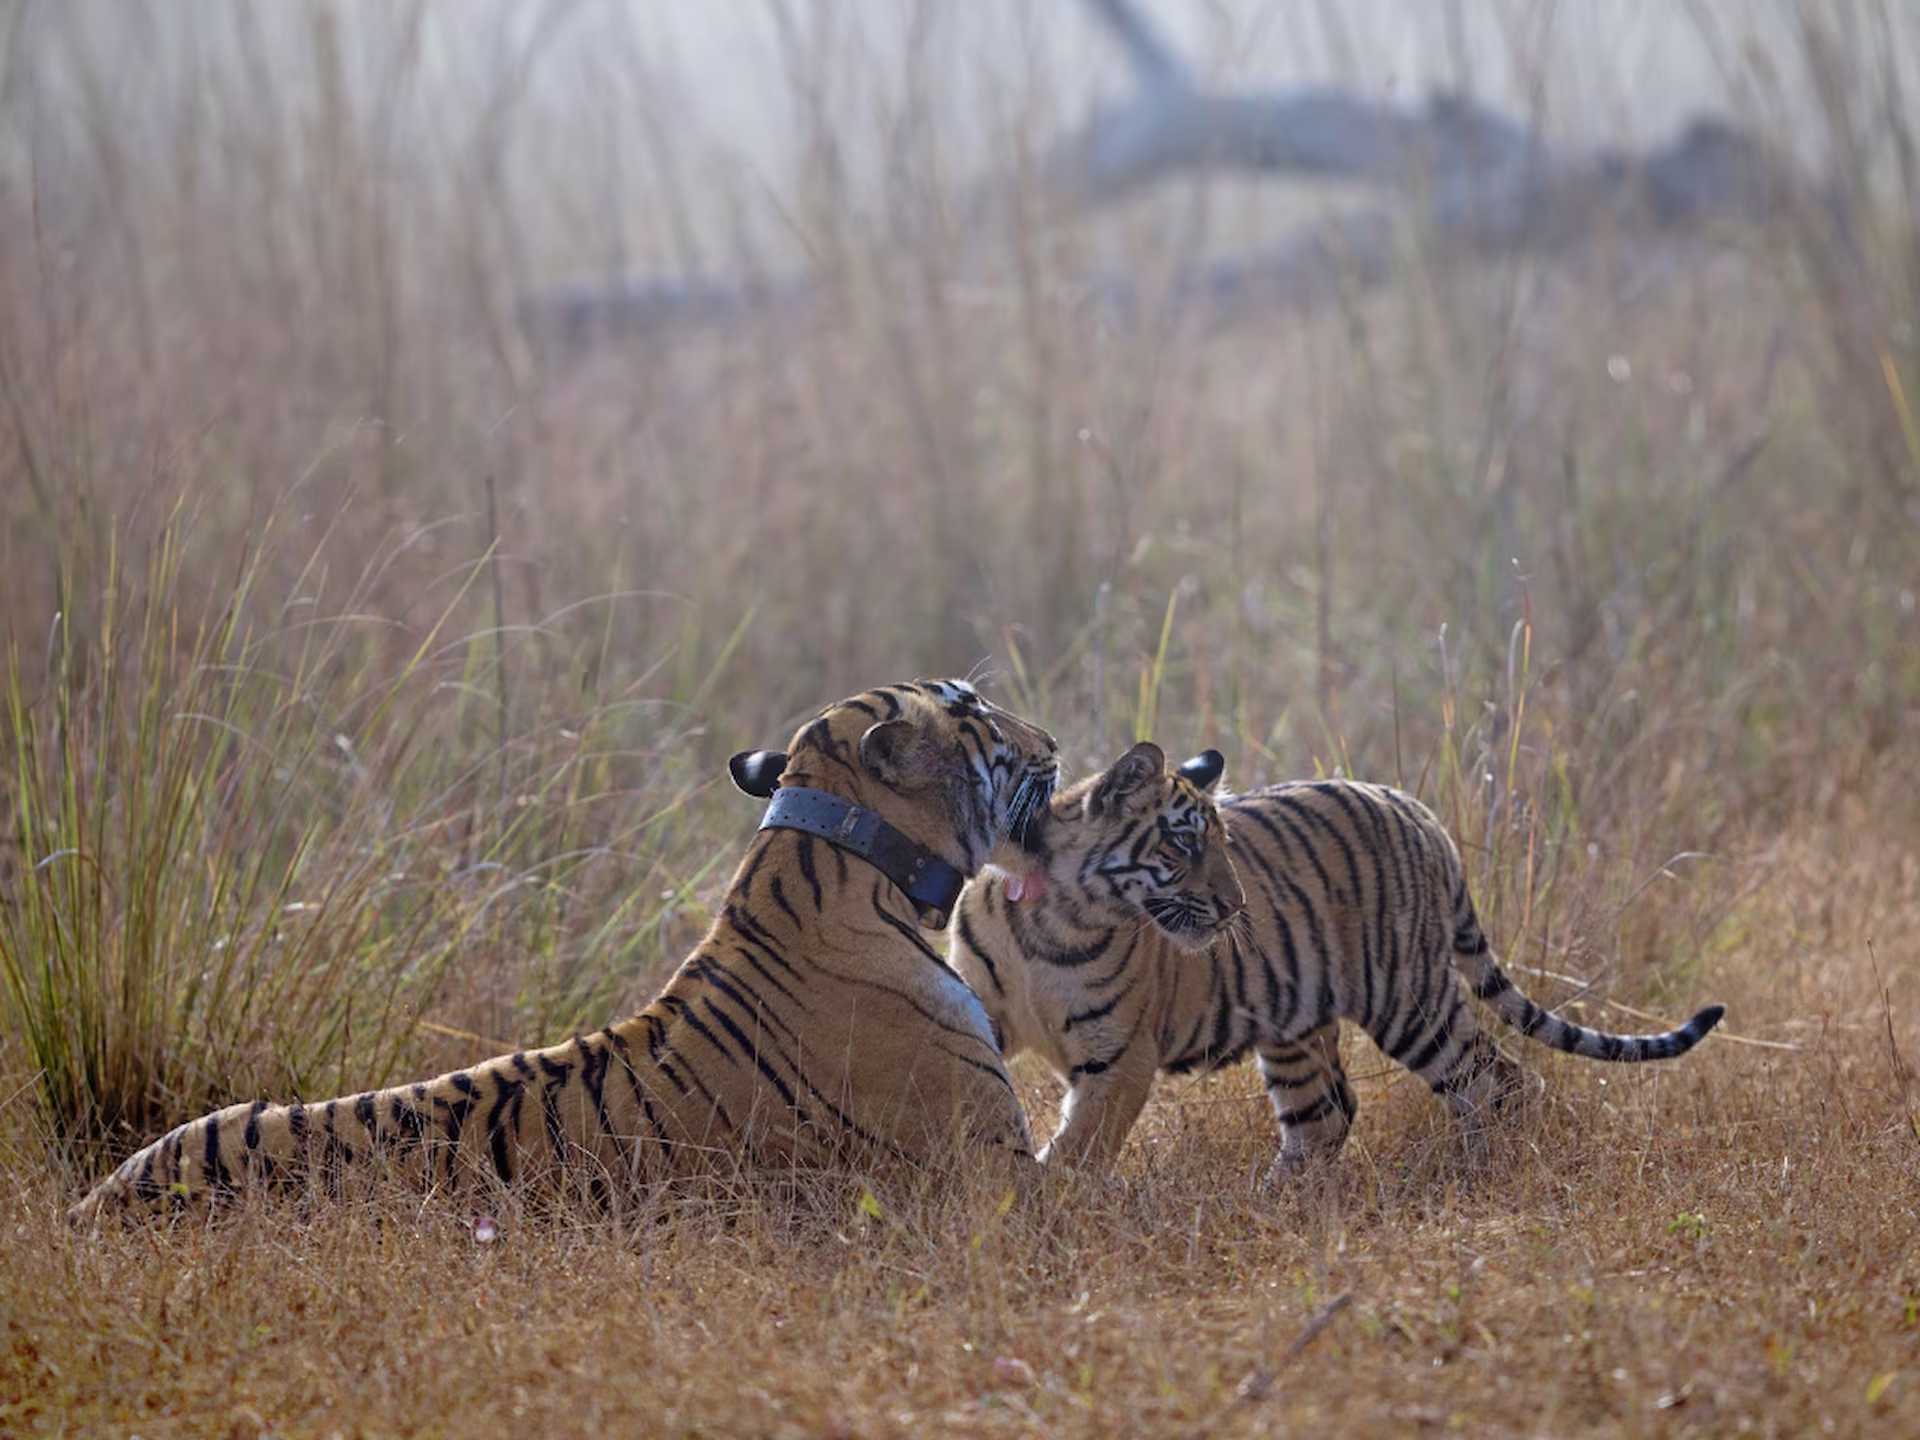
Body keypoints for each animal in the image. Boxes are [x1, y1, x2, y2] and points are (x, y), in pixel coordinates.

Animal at [948, 740, 1725, 1173]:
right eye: (1184, 843)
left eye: (1221, 842)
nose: (1234, 907)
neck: (1056, 916)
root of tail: (1421, 813)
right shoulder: (984, 1005)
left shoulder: (1120, 1058)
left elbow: (1081, 1146)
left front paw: (1048, 1204)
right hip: (1296, 1024)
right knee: (1325, 1114)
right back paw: (1277, 1203)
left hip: (1410, 999)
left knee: (1497, 1078)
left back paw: (1484, 1172)